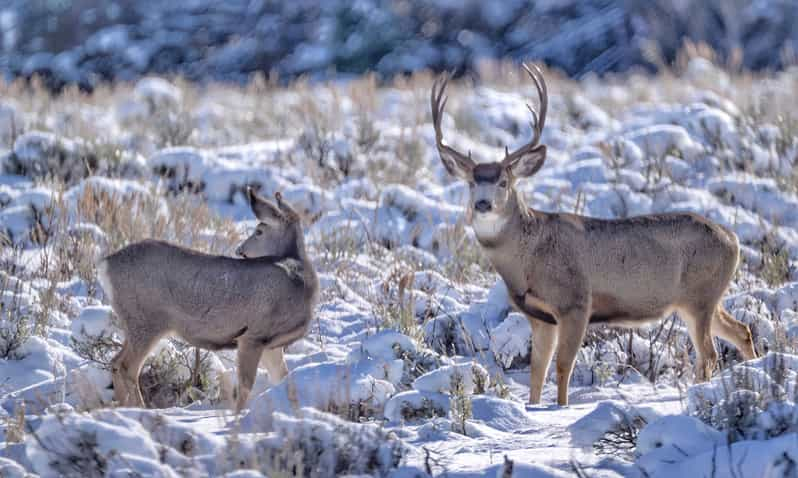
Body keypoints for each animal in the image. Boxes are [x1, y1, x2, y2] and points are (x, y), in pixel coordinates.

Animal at [100, 190, 322, 410]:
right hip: (147, 320)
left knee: (116, 363)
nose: (240, 251)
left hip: (134, 321)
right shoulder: (253, 335)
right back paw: (139, 410)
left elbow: (285, 381)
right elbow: (245, 387)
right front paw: (238, 417)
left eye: (259, 231)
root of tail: (106, 264)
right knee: (127, 367)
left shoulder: (271, 345)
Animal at [434, 65, 760, 406]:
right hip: (704, 298)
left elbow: (563, 366)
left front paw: (561, 408)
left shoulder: (576, 302)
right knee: (742, 330)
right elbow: (537, 372)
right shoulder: (540, 316)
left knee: (708, 354)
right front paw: (532, 407)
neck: (527, 257)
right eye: (471, 182)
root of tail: (733, 239)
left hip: (699, 297)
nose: (482, 204)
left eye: (503, 182)